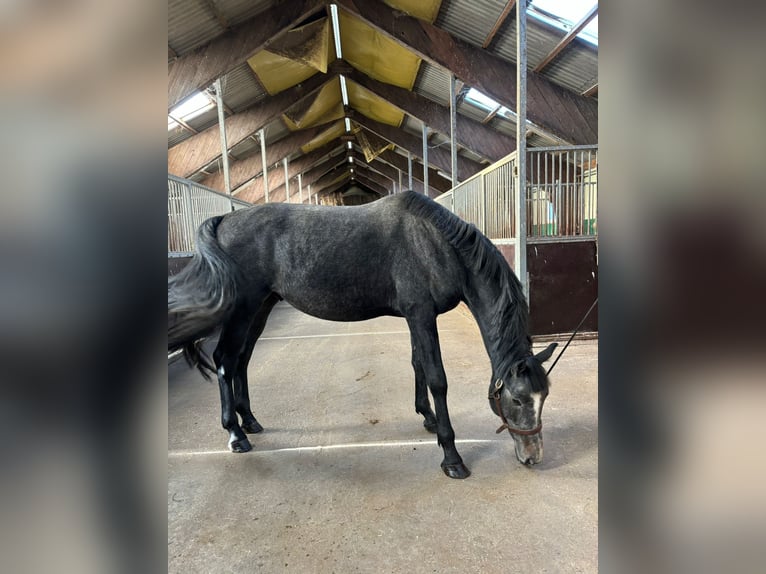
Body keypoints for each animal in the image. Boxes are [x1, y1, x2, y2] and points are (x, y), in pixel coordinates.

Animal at [168, 191, 556, 480]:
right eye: (518, 399)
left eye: (544, 398)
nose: (533, 457)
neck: (434, 244)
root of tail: (224, 220)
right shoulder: (421, 315)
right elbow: (437, 378)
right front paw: (452, 457)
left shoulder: (416, 317)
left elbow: (417, 364)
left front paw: (427, 417)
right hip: (243, 309)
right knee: (224, 360)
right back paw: (235, 434)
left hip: (260, 307)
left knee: (242, 361)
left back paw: (249, 421)